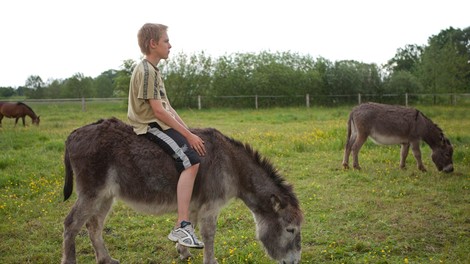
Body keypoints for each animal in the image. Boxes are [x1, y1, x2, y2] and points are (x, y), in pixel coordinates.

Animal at [61, 118, 304, 264]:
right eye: (290, 230)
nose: (295, 261)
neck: (232, 165)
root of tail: (74, 133)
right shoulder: (211, 206)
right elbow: (209, 234)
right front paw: (210, 261)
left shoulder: (196, 203)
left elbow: (190, 225)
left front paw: (184, 251)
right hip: (92, 192)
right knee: (71, 224)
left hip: (106, 196)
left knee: (93, 225)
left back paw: (105, 259)